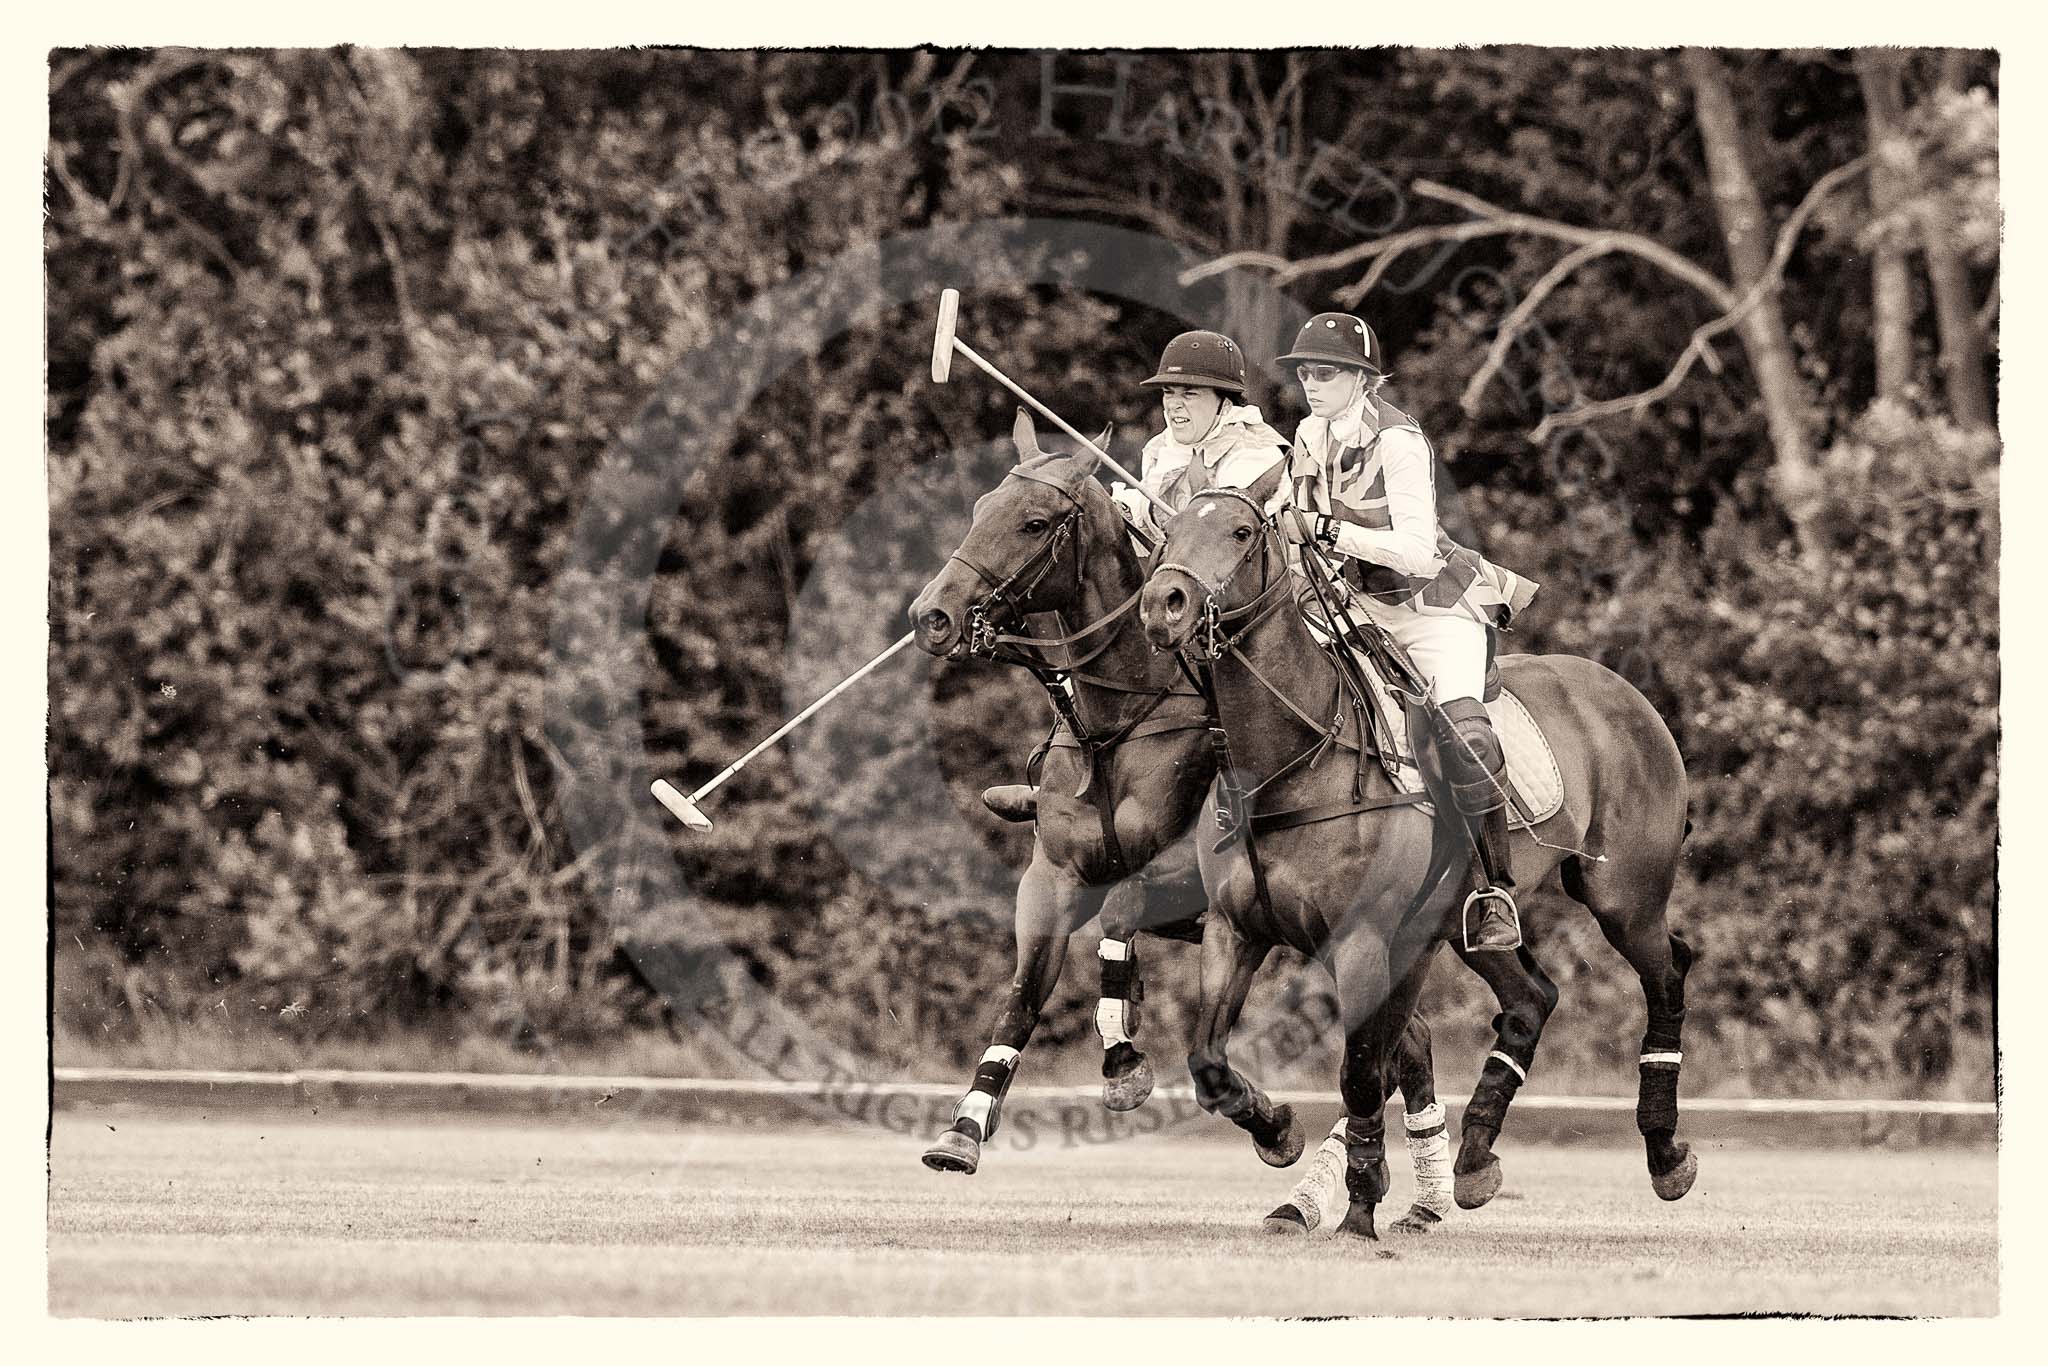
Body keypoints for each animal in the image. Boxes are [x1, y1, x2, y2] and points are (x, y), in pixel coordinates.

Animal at [909, 413, 1458, 1228]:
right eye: (980, 510)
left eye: (1034, 523)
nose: (933, 616)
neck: (1120, 720)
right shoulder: (1051, 879)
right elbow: (1022, 997)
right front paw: (964, 1130)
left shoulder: (1178, 879)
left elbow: (1119, 915)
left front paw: (1127, 1064)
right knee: (1407, 1041)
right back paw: (1421, 1195)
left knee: (1397, 1042)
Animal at [1138, 489, 1695, 1236]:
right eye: (1167, 529)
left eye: (1242, 531)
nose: (1162, 604)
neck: (1289, 766)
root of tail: (1628, 693)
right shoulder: (1236, 931)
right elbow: (1207, 1060)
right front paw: (1281, 1135)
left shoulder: (1364, 940)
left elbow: (1361, 1073)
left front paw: (1358, 1209)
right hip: (1460, 926)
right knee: (1532, 997)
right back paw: (1474, 1161)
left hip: (1625, 898)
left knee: (1667, 975)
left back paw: (1666, 1155)